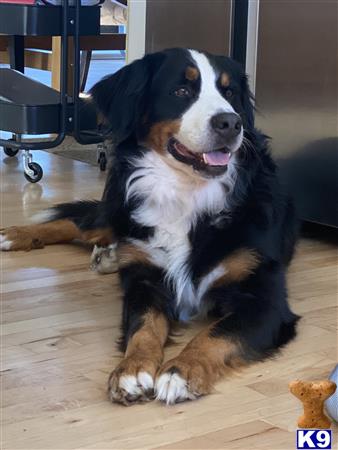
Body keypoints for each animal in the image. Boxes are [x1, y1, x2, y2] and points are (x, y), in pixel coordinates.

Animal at [1, 50, 298, 408]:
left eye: (229, 93)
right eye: (181, 91)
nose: (230, 123)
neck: (186, 194)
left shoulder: (263, 298)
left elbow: (215, 334)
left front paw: (182, 370)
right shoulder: (145, 281)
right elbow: (143, 327)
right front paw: (132, 369)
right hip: (118, 207)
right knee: (79, 224)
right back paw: (17, 234)